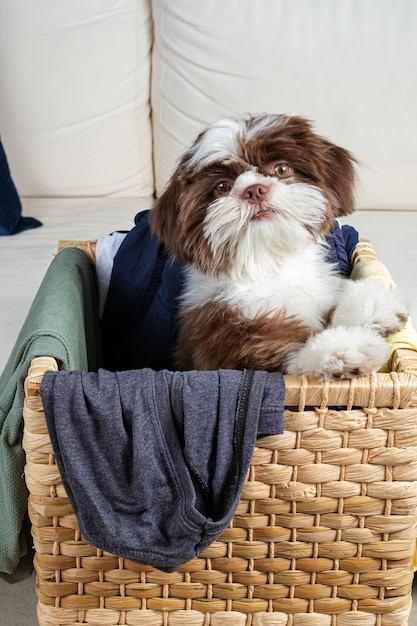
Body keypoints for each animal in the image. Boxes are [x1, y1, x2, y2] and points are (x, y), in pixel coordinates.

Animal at [150, 114, 406, 378]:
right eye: (222, 187)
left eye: (281, 169)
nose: (254, 190)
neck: (271, 262)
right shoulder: (223, 334)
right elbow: (286, 355)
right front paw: (344, 349)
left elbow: (334, 310)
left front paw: (372, 305)